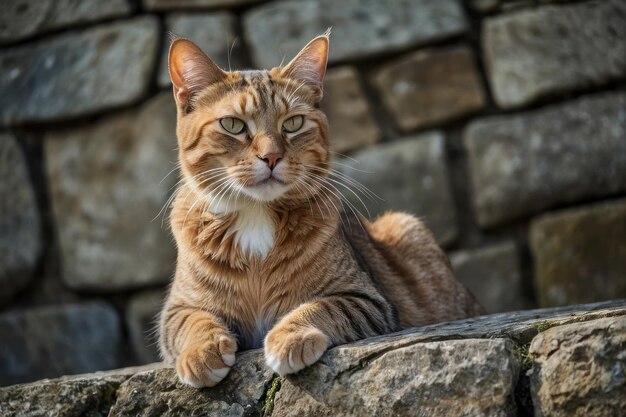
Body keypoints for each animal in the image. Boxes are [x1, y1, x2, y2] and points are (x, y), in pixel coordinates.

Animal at [157, 31, 482, 386]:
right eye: (232, 125)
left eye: (293, 123)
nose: (271, 157)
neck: (256, 216)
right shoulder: (177, 308)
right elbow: (190, 321)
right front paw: (201, 351)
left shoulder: (368, 299)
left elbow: (321, 306)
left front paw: (291, 335)